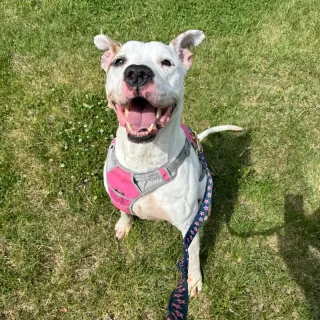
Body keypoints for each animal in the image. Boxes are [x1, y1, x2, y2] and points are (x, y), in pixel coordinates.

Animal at [94, 30, 241, 298]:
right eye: (119, 62)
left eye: (166, 62)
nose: (137, 72)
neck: (143, 156)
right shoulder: (119, 195)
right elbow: (123, 210)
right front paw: (124, 224)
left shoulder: (188, 228)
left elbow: (192, 256)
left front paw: (193, 281)